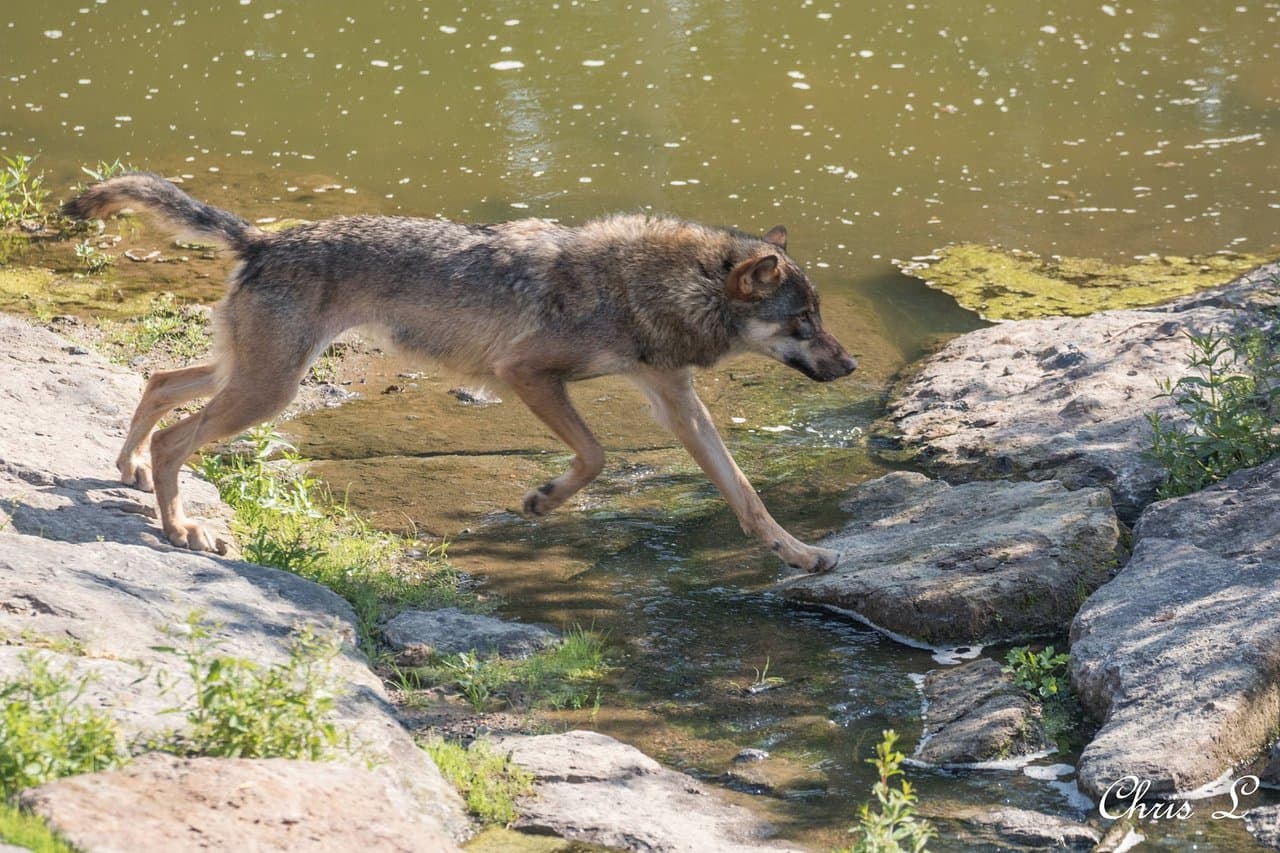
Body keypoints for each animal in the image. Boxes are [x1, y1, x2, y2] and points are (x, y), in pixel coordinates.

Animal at [64, 174, 857, 571]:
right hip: (267, 391)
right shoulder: (525, 373)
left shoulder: (676, 402)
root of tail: (262, 238)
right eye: (803, 322)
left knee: (159, 381)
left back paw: (129, 472)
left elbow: (745, 494)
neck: (647, 287)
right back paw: (179, 530)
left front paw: (800, 555)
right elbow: (596, 455)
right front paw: (541, 500)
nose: (850, 364)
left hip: (253, 379)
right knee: (176, 437)